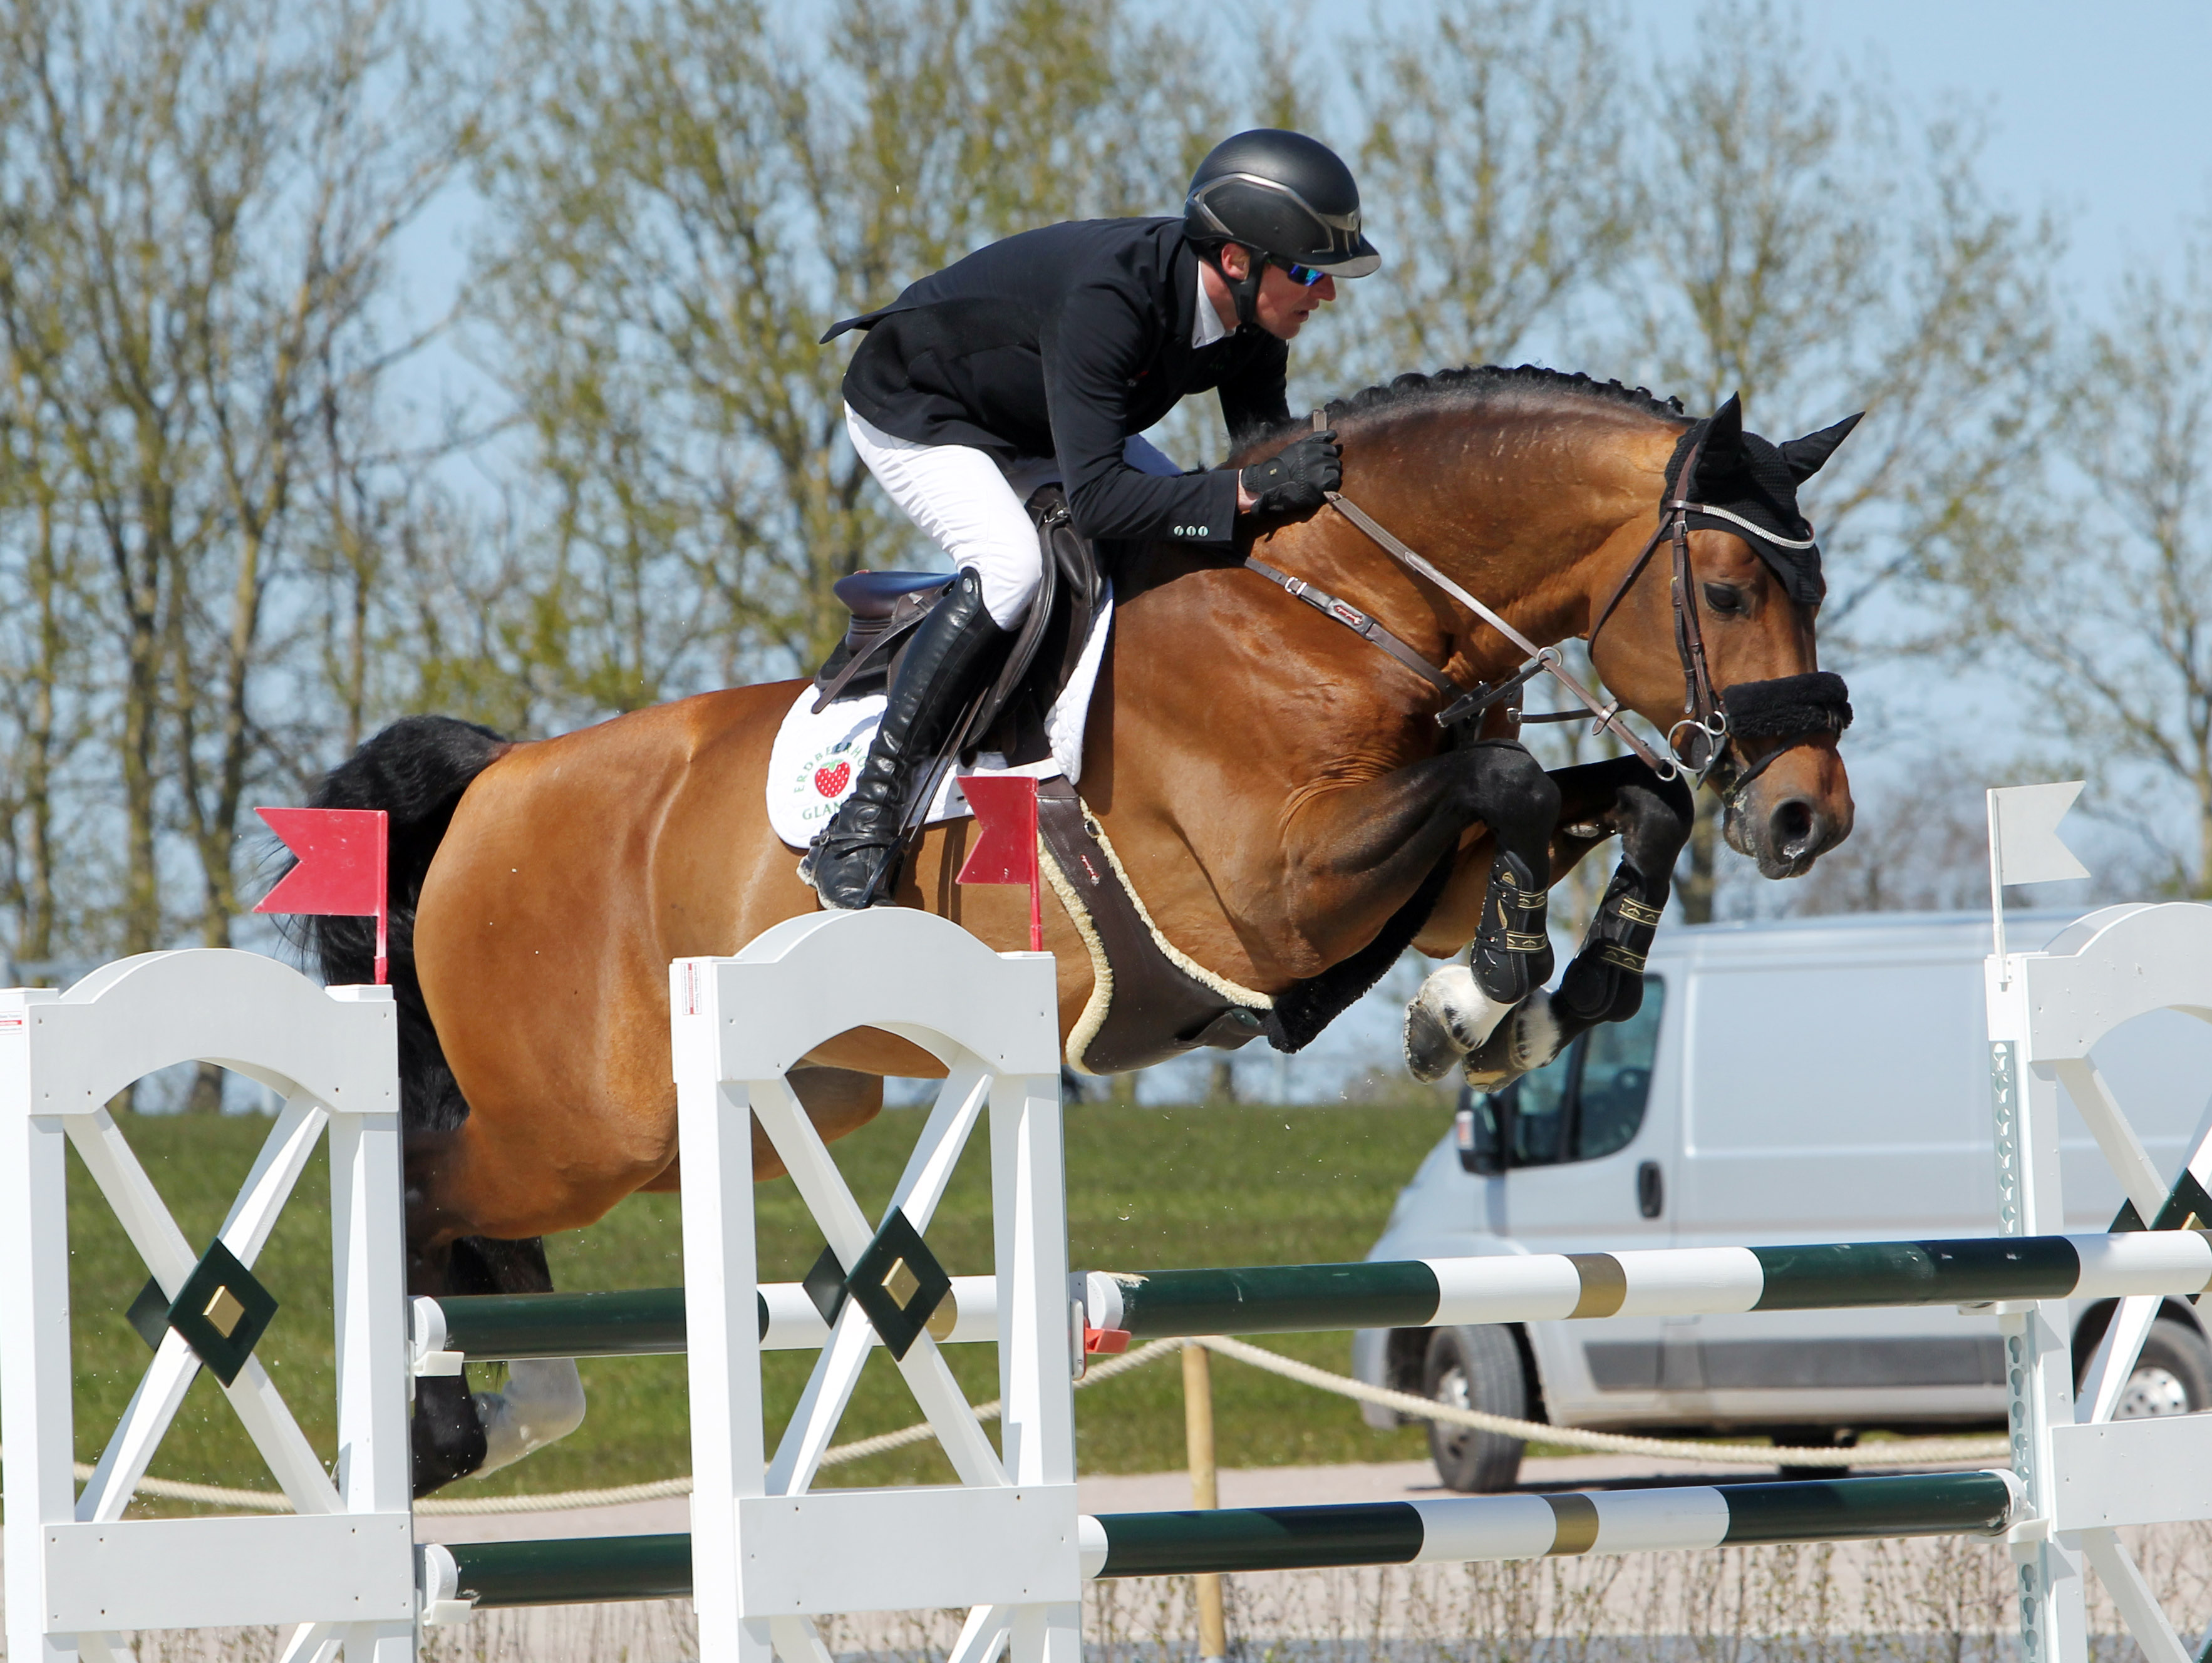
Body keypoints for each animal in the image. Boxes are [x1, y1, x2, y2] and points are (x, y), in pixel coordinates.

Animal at [294, 367, 1849, 1495]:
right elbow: (1516, 784)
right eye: (1725, 590)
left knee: (481, 1221)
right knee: (425, 1185)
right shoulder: (1277, 886)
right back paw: (443, 1425)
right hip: (582, 1123)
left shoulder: (1433, 878)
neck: (1343, 609)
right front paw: (1474, 1013)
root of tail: (499, 777)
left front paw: (1545, 997)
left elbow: (1626, 795)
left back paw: (517, 1405)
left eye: (1814, 586)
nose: (1804, 817)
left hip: (736, 1115)